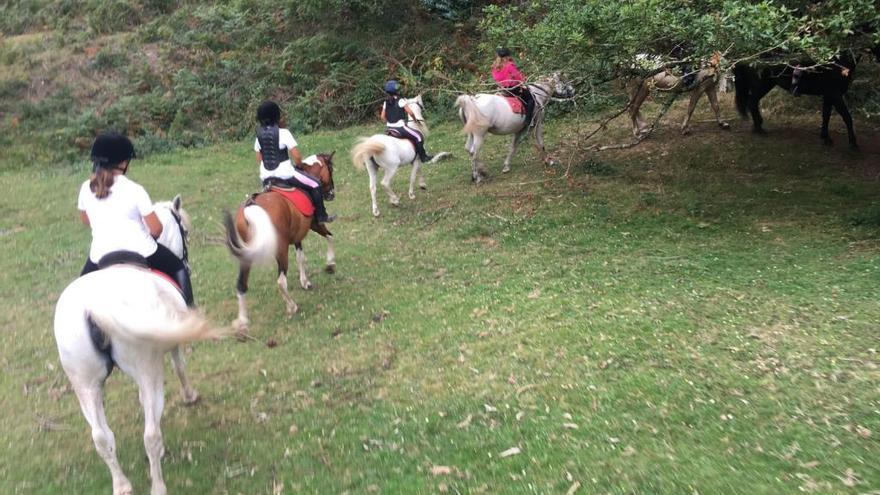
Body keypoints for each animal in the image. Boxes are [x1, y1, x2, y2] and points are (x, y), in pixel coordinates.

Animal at [53, 196, 222, 495]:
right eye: (184, 231)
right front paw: (190, 396)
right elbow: (180, 367)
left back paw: (121, 485)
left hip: (84, 383)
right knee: (150, 435)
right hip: (146, 368)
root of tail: (96, 307)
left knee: (101, 437)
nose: (188, 263)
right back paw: (158, 484)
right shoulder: (172, 341)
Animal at [225, 153, 336, 336]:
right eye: (331, 169)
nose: (331, 194)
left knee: (241, 284)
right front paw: (330, 264)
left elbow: (300, 258)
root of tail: (251, 209)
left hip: (246, 256)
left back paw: (242, 321)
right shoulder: (314, 224)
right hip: (281, 250)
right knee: (281, 281)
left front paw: (305, 282)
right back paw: (292, 306)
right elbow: (329, 237)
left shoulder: (297, 236)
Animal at [728, 52, 860, 149]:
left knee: (752, 103)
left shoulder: (828, 97)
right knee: (752, 102)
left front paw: (825, 138)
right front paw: (853, 143)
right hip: (762, 86)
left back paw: (758, 126)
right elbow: (847, 118)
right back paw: (759, 129)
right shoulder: (835, 96)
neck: (837, 67)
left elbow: (826, 116)